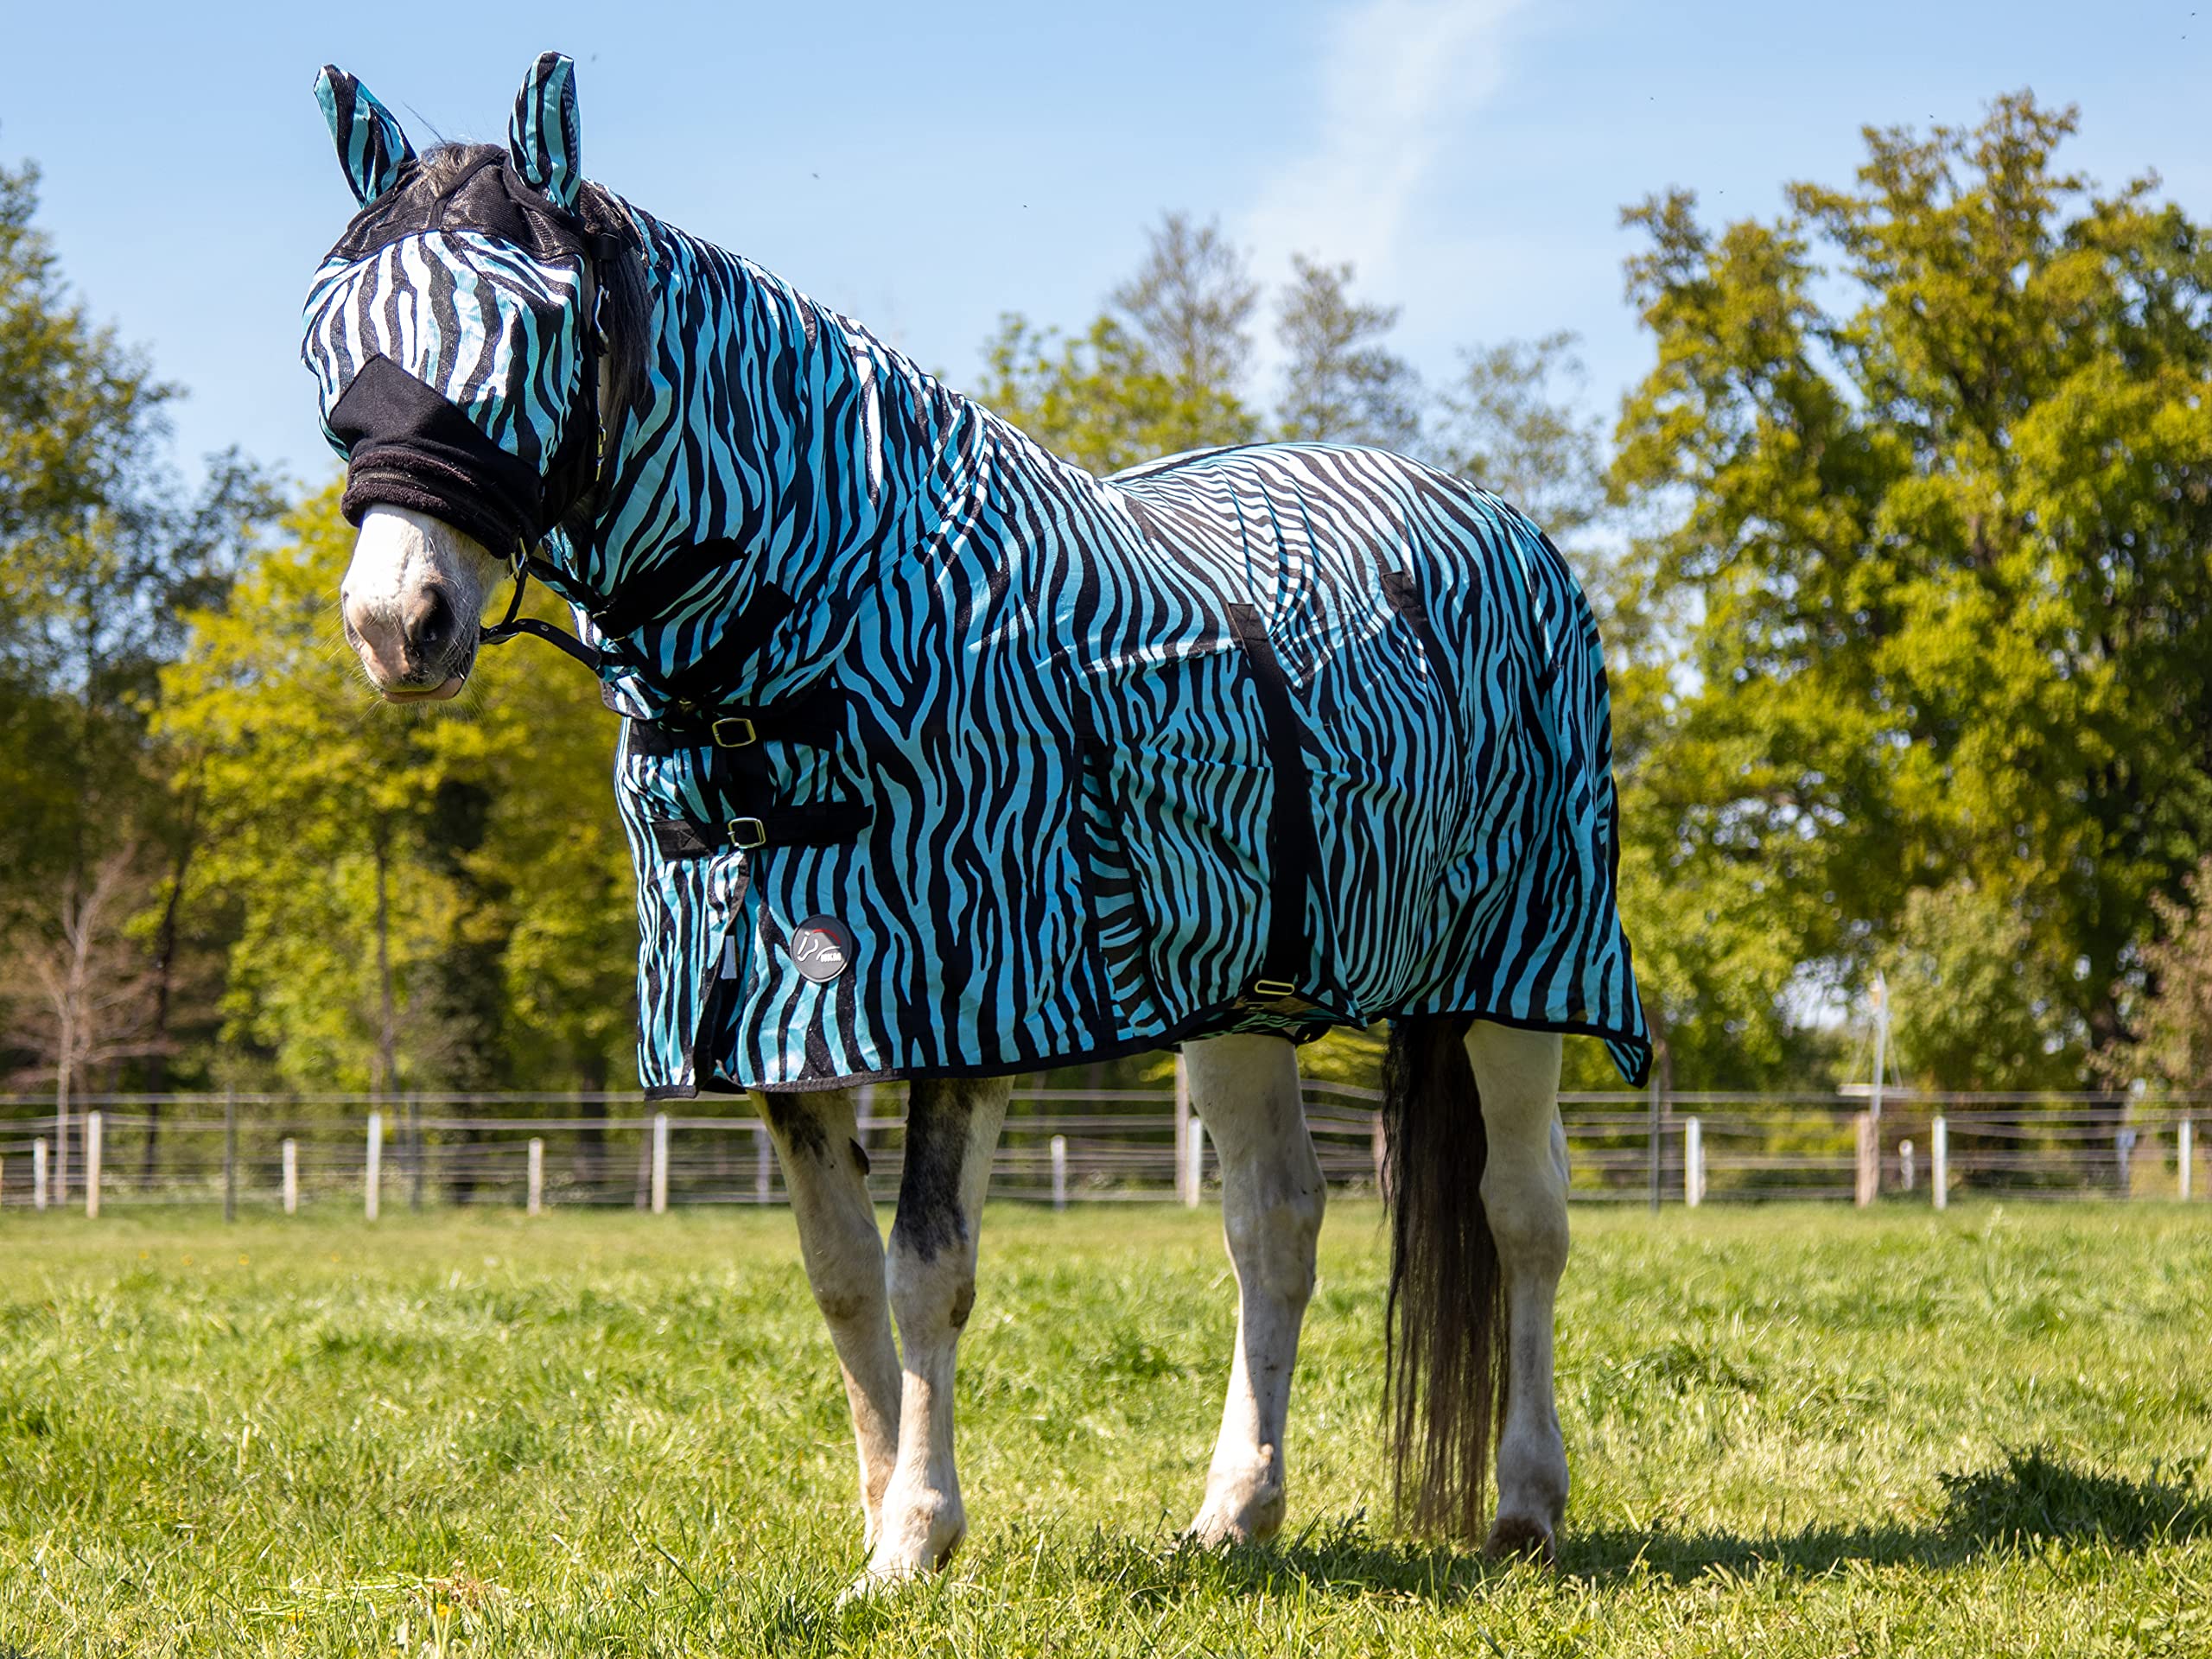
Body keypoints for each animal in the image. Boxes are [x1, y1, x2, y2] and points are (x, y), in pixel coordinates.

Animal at [300, 53, 1649, 1591]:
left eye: (538, 323)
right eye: (327, 338)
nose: (396, 625)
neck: (823, 634)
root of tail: (1498, 524)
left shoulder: (966, 1006)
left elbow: (927, 1269)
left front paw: (916, 1537)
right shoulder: (781, 1022)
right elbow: (840, 1279)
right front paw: (882, 1513)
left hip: (1525, 973)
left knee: (1524, 1217)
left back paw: (1527, 1505)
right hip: (1244, 1002)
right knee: (1276, 1228)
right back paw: (1235, 1514)